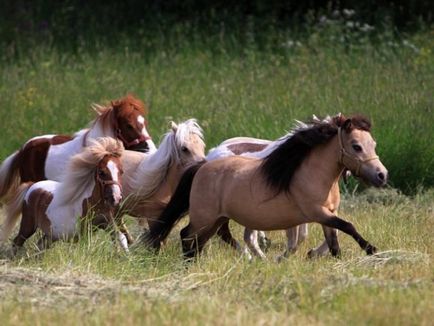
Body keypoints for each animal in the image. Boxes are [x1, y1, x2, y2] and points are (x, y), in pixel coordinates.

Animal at [148, 114, 386, 260]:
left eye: (373, 144)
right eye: (356, 146)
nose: (382, 175)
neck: (314, 174)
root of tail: (203, 165)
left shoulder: (326, 214)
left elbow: (332, 241)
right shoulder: (316, 212)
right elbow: (347, 226)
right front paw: (371, 249)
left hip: (216, 219)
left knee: (205, 238)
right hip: (204, 216)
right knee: (188, 235)